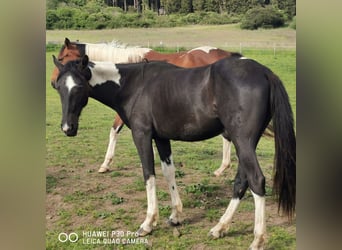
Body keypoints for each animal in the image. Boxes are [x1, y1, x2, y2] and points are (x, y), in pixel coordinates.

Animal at [52, 53, 296, 249]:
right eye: (59, 87)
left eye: (79, 87)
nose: (67, 128)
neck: (133, 86)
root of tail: (264, 72)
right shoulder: (161, 138)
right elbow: (168, 173)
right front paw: (176, 215)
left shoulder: (142, 135)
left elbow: (148, 174)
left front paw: (148, 223)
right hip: (246, 143)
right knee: (241, 181)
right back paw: (220, 227)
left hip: (242, 141)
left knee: (256, 180)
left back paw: (257, 239)